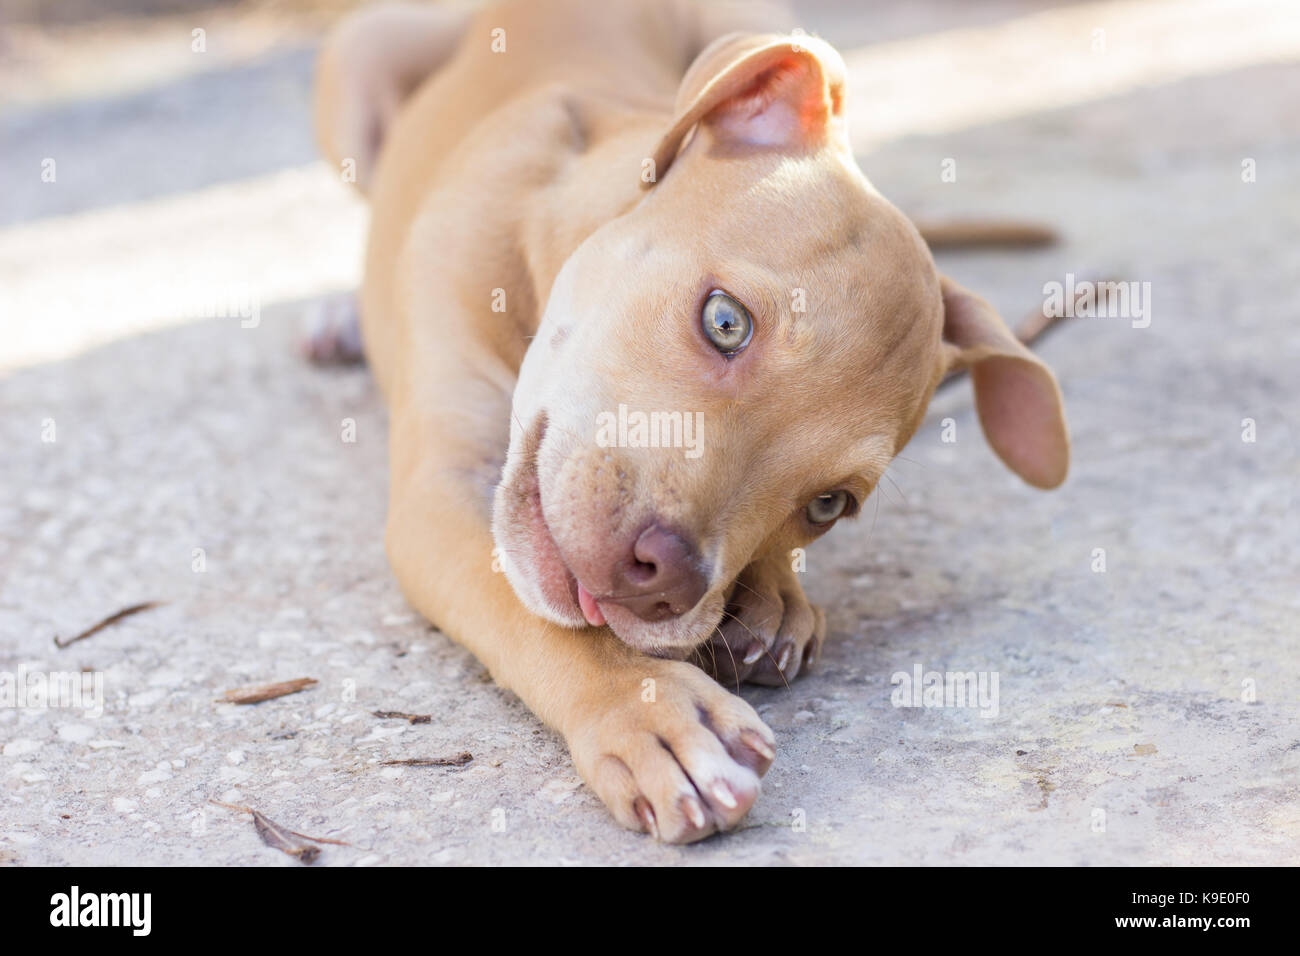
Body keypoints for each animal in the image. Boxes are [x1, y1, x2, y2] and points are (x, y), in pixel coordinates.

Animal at [312, 0, 1066, 842]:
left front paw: (773, 596)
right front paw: (650, 710)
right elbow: (529, 611)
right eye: (726, 322)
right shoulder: (440, 490)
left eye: (828, 505)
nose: (663, 581)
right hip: (362, 51)